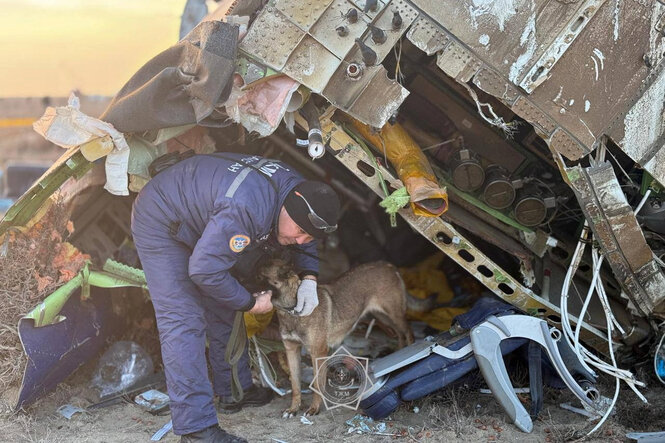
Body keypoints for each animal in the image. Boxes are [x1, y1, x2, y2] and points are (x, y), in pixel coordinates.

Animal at [258, 258, 410, 418]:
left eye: (259, 277)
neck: (293, 309)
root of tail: (388, 265)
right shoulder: (291, 350)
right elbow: (295, 385)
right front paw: (293, 409)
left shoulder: (318, 353)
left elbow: (317, 384)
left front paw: (314, 408)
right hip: (382, 316)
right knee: (399, 334)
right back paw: (400, 352)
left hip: (394, 315)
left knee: (408, 332)